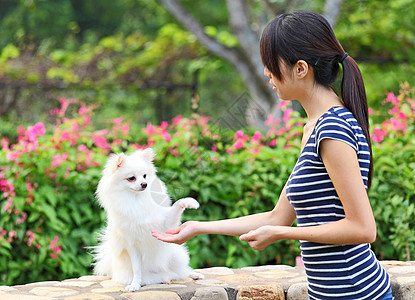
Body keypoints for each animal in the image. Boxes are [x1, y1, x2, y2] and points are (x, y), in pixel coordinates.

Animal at [92, 149, 203, 292]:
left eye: (145, 176)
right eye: (131, 178)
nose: (144, 184)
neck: (137, 200)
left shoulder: (165, 223)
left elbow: (176, 206)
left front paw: (189, 201)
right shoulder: (132, 246)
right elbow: (137, 269)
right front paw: (135, 285)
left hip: (175, 255)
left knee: (181, 271)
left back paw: (193, 274)